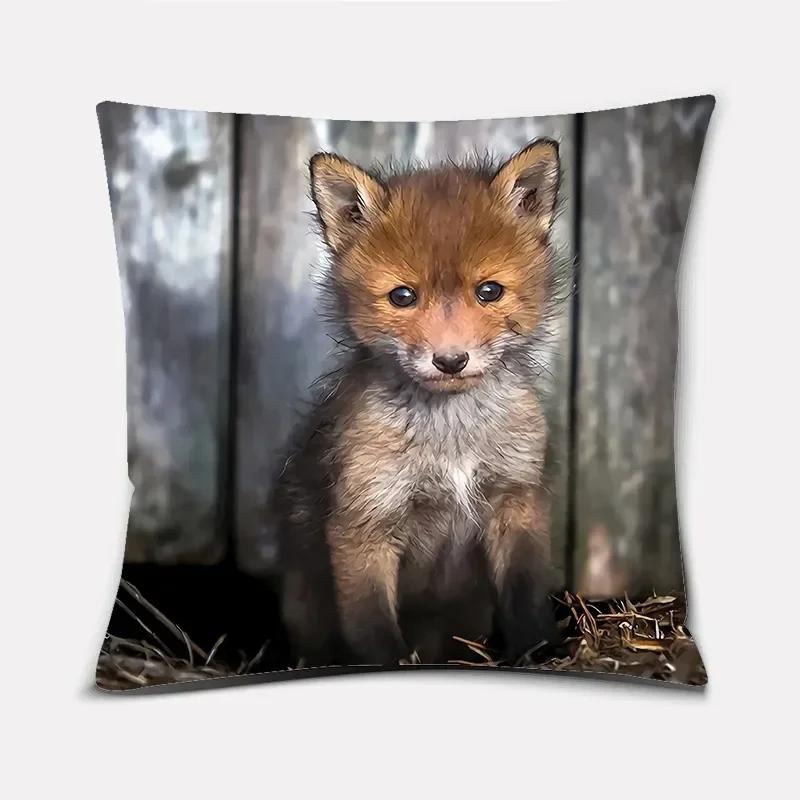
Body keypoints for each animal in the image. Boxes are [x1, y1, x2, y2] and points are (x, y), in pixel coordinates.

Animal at [274, 138, 566, 667]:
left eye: (489, 291)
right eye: (403, 296)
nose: (450, 360)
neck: (452, 440)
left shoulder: (516, 499)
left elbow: (527, 597)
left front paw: (542, 653)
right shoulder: (363, 521)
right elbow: (371, 626)